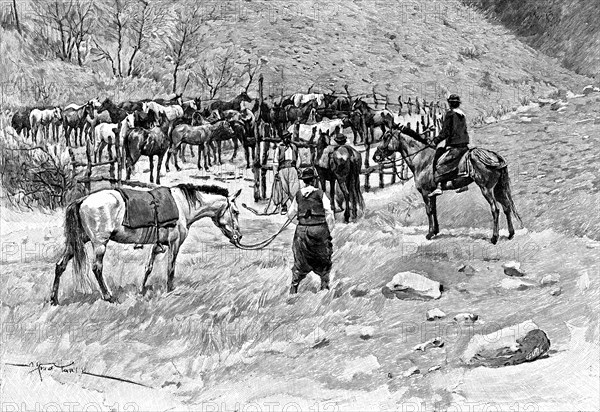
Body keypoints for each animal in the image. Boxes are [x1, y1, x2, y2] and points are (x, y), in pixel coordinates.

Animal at [372, 127, 524, 243]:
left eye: (386, 137)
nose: (375, 156)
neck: (422, 159)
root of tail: (495, 157)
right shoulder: (431, 193)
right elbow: (434, 210)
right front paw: (435, 231)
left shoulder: (425, 192)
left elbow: (428, 211)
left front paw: (429, 233)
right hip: (498, 189)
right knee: (506, 207)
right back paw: (510, 234)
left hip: (486, 189)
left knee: (495, 209)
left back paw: (494, 237)